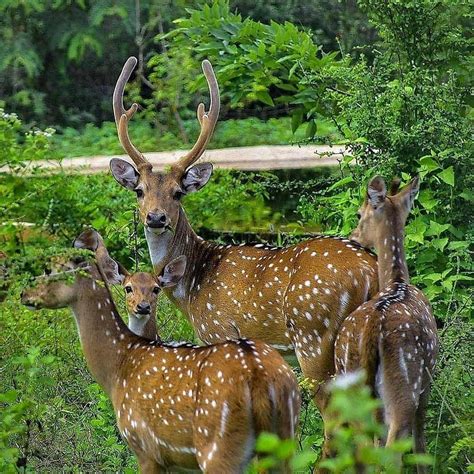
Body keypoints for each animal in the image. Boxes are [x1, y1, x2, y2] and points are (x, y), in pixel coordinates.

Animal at [21, 228, 300, 472]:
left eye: (49, 268)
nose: (24, 293)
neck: (119, 364)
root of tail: (258, 375)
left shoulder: (145, 447)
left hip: (217, 446)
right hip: (285, 436)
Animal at [334, 177, 436, 470]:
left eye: (359, 214)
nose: (354, 236)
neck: (398, 281)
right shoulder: (427, 382)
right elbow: (421, 443)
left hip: (353, 389)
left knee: (365, 451)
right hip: (404, 385)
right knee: (392, 453)